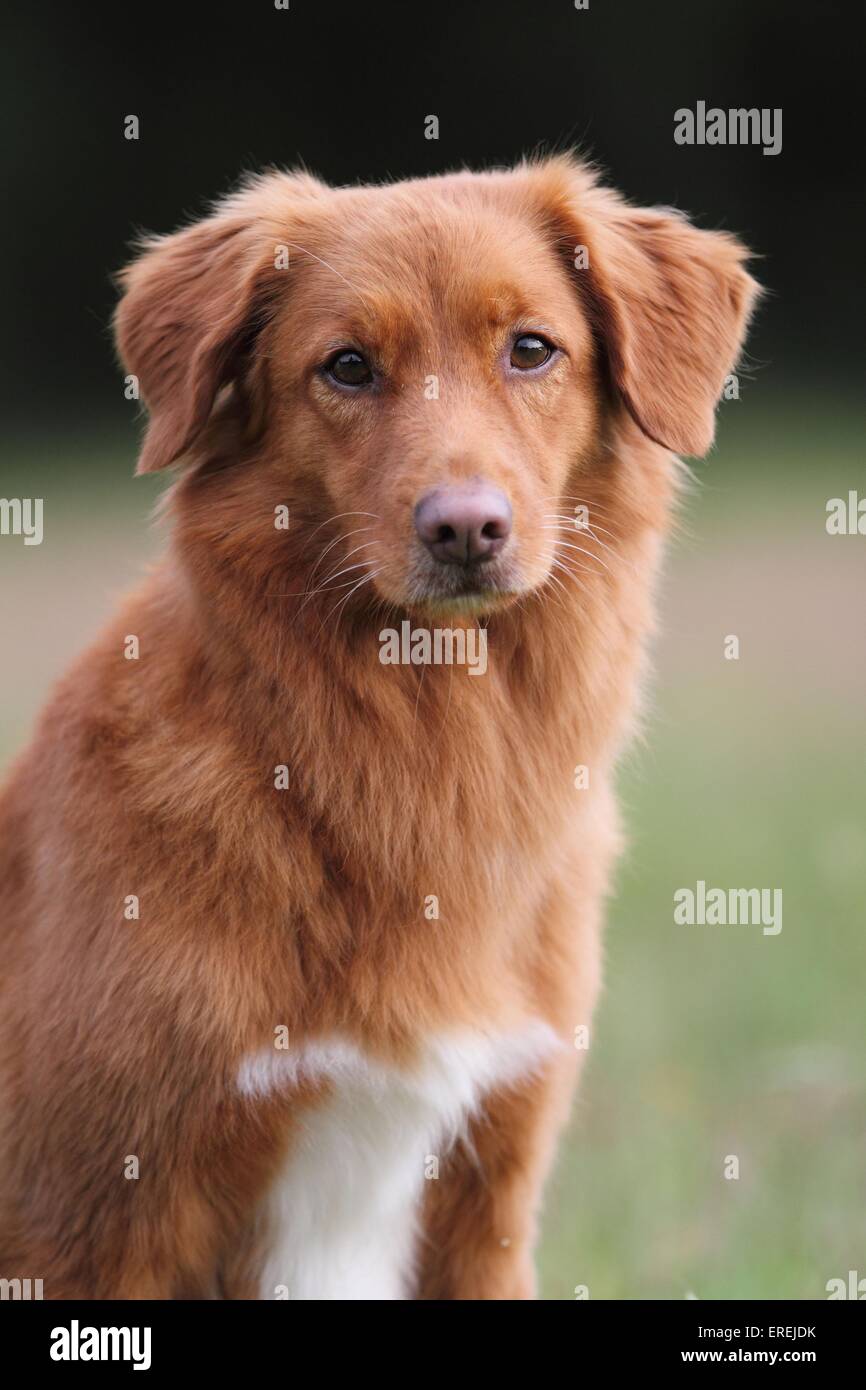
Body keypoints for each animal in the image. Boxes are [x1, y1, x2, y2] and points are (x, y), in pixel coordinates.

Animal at [0, 157, 756, 1295]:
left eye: (531, 347)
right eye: (347, 367)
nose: (466, 528)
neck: (426, 736)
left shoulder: (489, 1193)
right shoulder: (91, 1219)